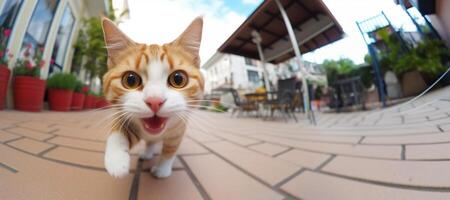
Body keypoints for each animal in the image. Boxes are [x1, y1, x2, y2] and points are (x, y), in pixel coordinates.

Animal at [101, 16, 204, 177]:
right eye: (130, 80)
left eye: (178, 79)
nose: (155, 101)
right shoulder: (125, 116)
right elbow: (117, 132)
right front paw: (116, 161)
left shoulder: (178, 130)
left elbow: (170, 150)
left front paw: (162, 170)